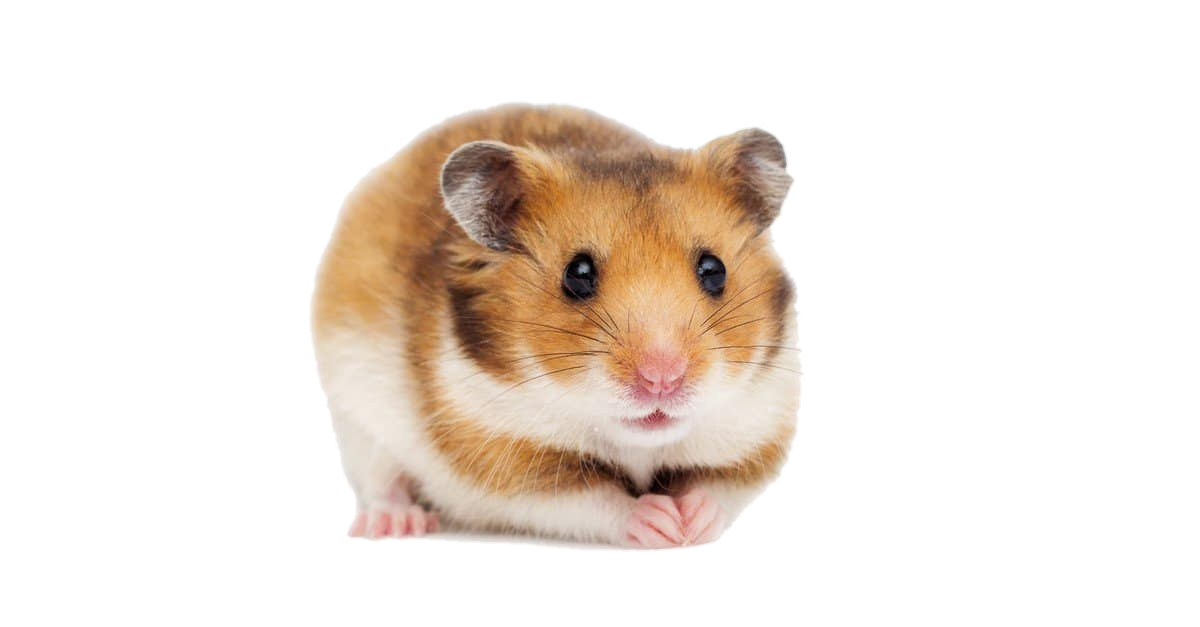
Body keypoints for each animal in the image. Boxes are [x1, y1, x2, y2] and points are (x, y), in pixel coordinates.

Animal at [310, 103, 800, 547]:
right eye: (577, 274)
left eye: (714, 270)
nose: (662, 380)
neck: (636, 442)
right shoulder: (501, 458)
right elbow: (592, 500)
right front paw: (659, 522)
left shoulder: (759, 430)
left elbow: (721, 487)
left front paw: (690, 522)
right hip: (356, 416)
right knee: (379, 479)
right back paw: (397, 522)